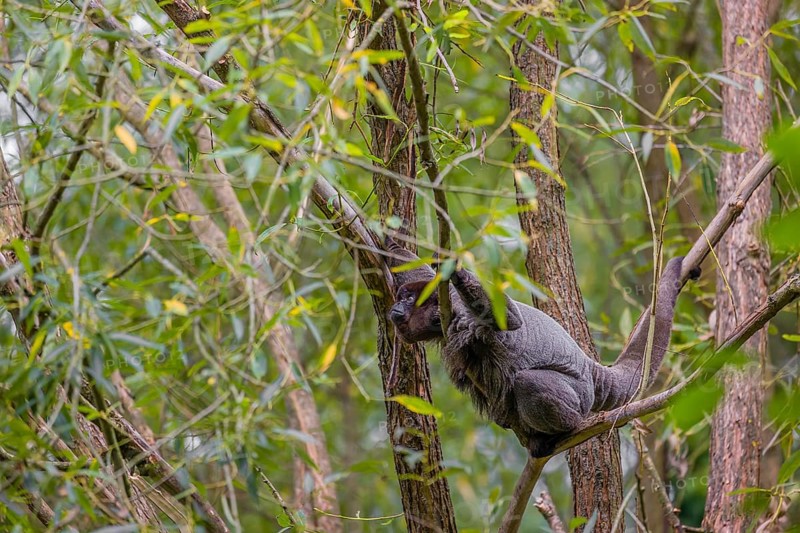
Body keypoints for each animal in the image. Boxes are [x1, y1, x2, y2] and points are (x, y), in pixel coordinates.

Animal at [385, 239, 700, 457]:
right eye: (400, 296)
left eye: (408, 298)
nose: (395, 307)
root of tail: (591, 370)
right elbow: (412, 266)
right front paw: (386, 237)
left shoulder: (454, 305)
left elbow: (509, 319)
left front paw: (456, 268)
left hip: (579, 396)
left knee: (528, 382)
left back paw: (567, 429)